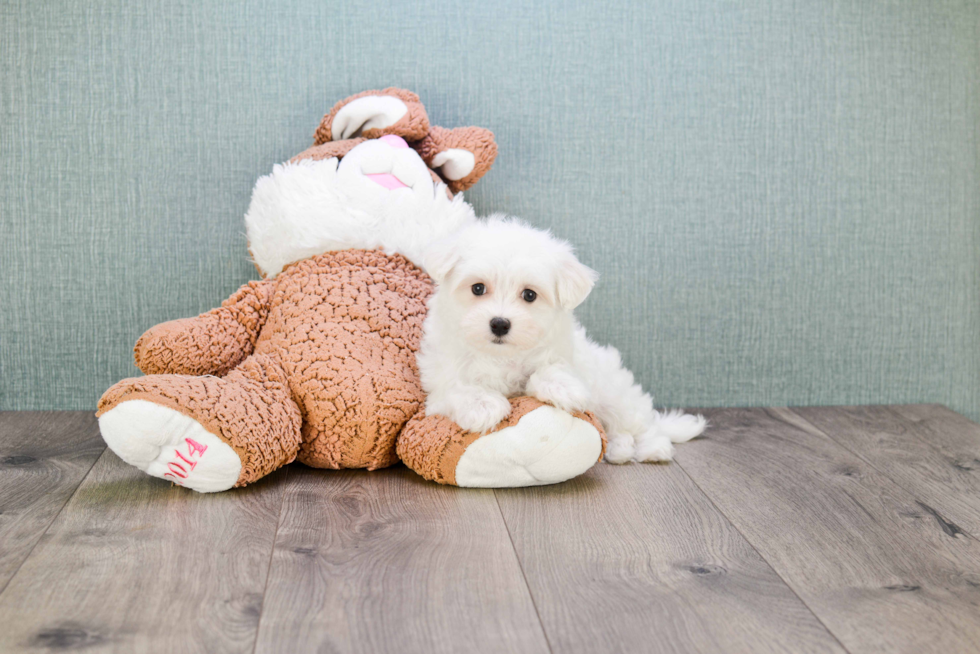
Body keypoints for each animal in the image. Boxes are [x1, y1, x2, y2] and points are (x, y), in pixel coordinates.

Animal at [418, 218, 708, 464]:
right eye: (477, 288)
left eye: (529, 295)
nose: (500, 323)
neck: (501, 356)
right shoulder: (440, 383)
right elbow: (459, 387)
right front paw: (483, 405)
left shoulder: (565, 355)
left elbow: (551, 368)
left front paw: (562, 388)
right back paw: (620, 450)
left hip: (615, 392)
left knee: (639, 423)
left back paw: (652, 449)